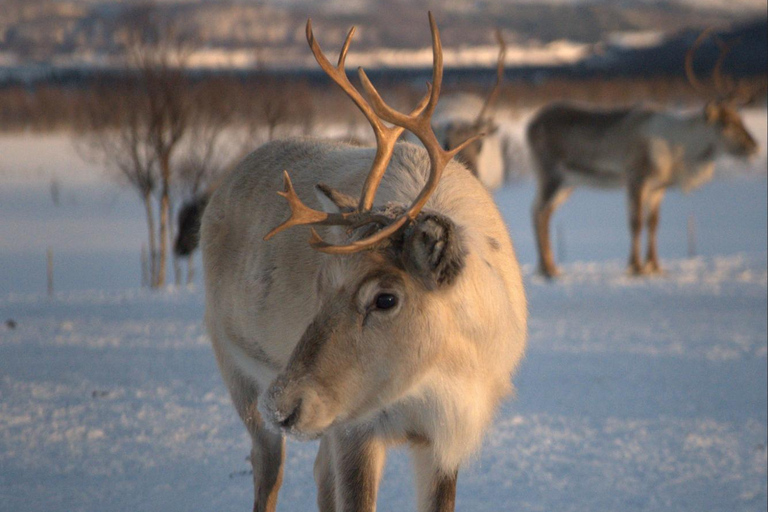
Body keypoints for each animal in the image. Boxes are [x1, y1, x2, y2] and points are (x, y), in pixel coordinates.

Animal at [200, 13, 527, 512]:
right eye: (322, 285)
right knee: (268, 470)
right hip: (235, 369)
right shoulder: (358, 429)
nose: (283, 404)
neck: (438, 377)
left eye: (385, 298)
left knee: (317, 472)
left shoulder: (445, 440)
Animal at [527, 29, 760, 278]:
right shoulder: (637, 178)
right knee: (537, 211)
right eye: (726, 123)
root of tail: (530, 125)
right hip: (550, 175)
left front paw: (655, 266)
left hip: (569, 182)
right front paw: (636, 266)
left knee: (546, 213)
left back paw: (551, 266)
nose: (754, 145)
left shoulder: (658, 187)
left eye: (740, 119)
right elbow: (636, 222)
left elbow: (653, 223)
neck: (679, 150)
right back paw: (547, 269)